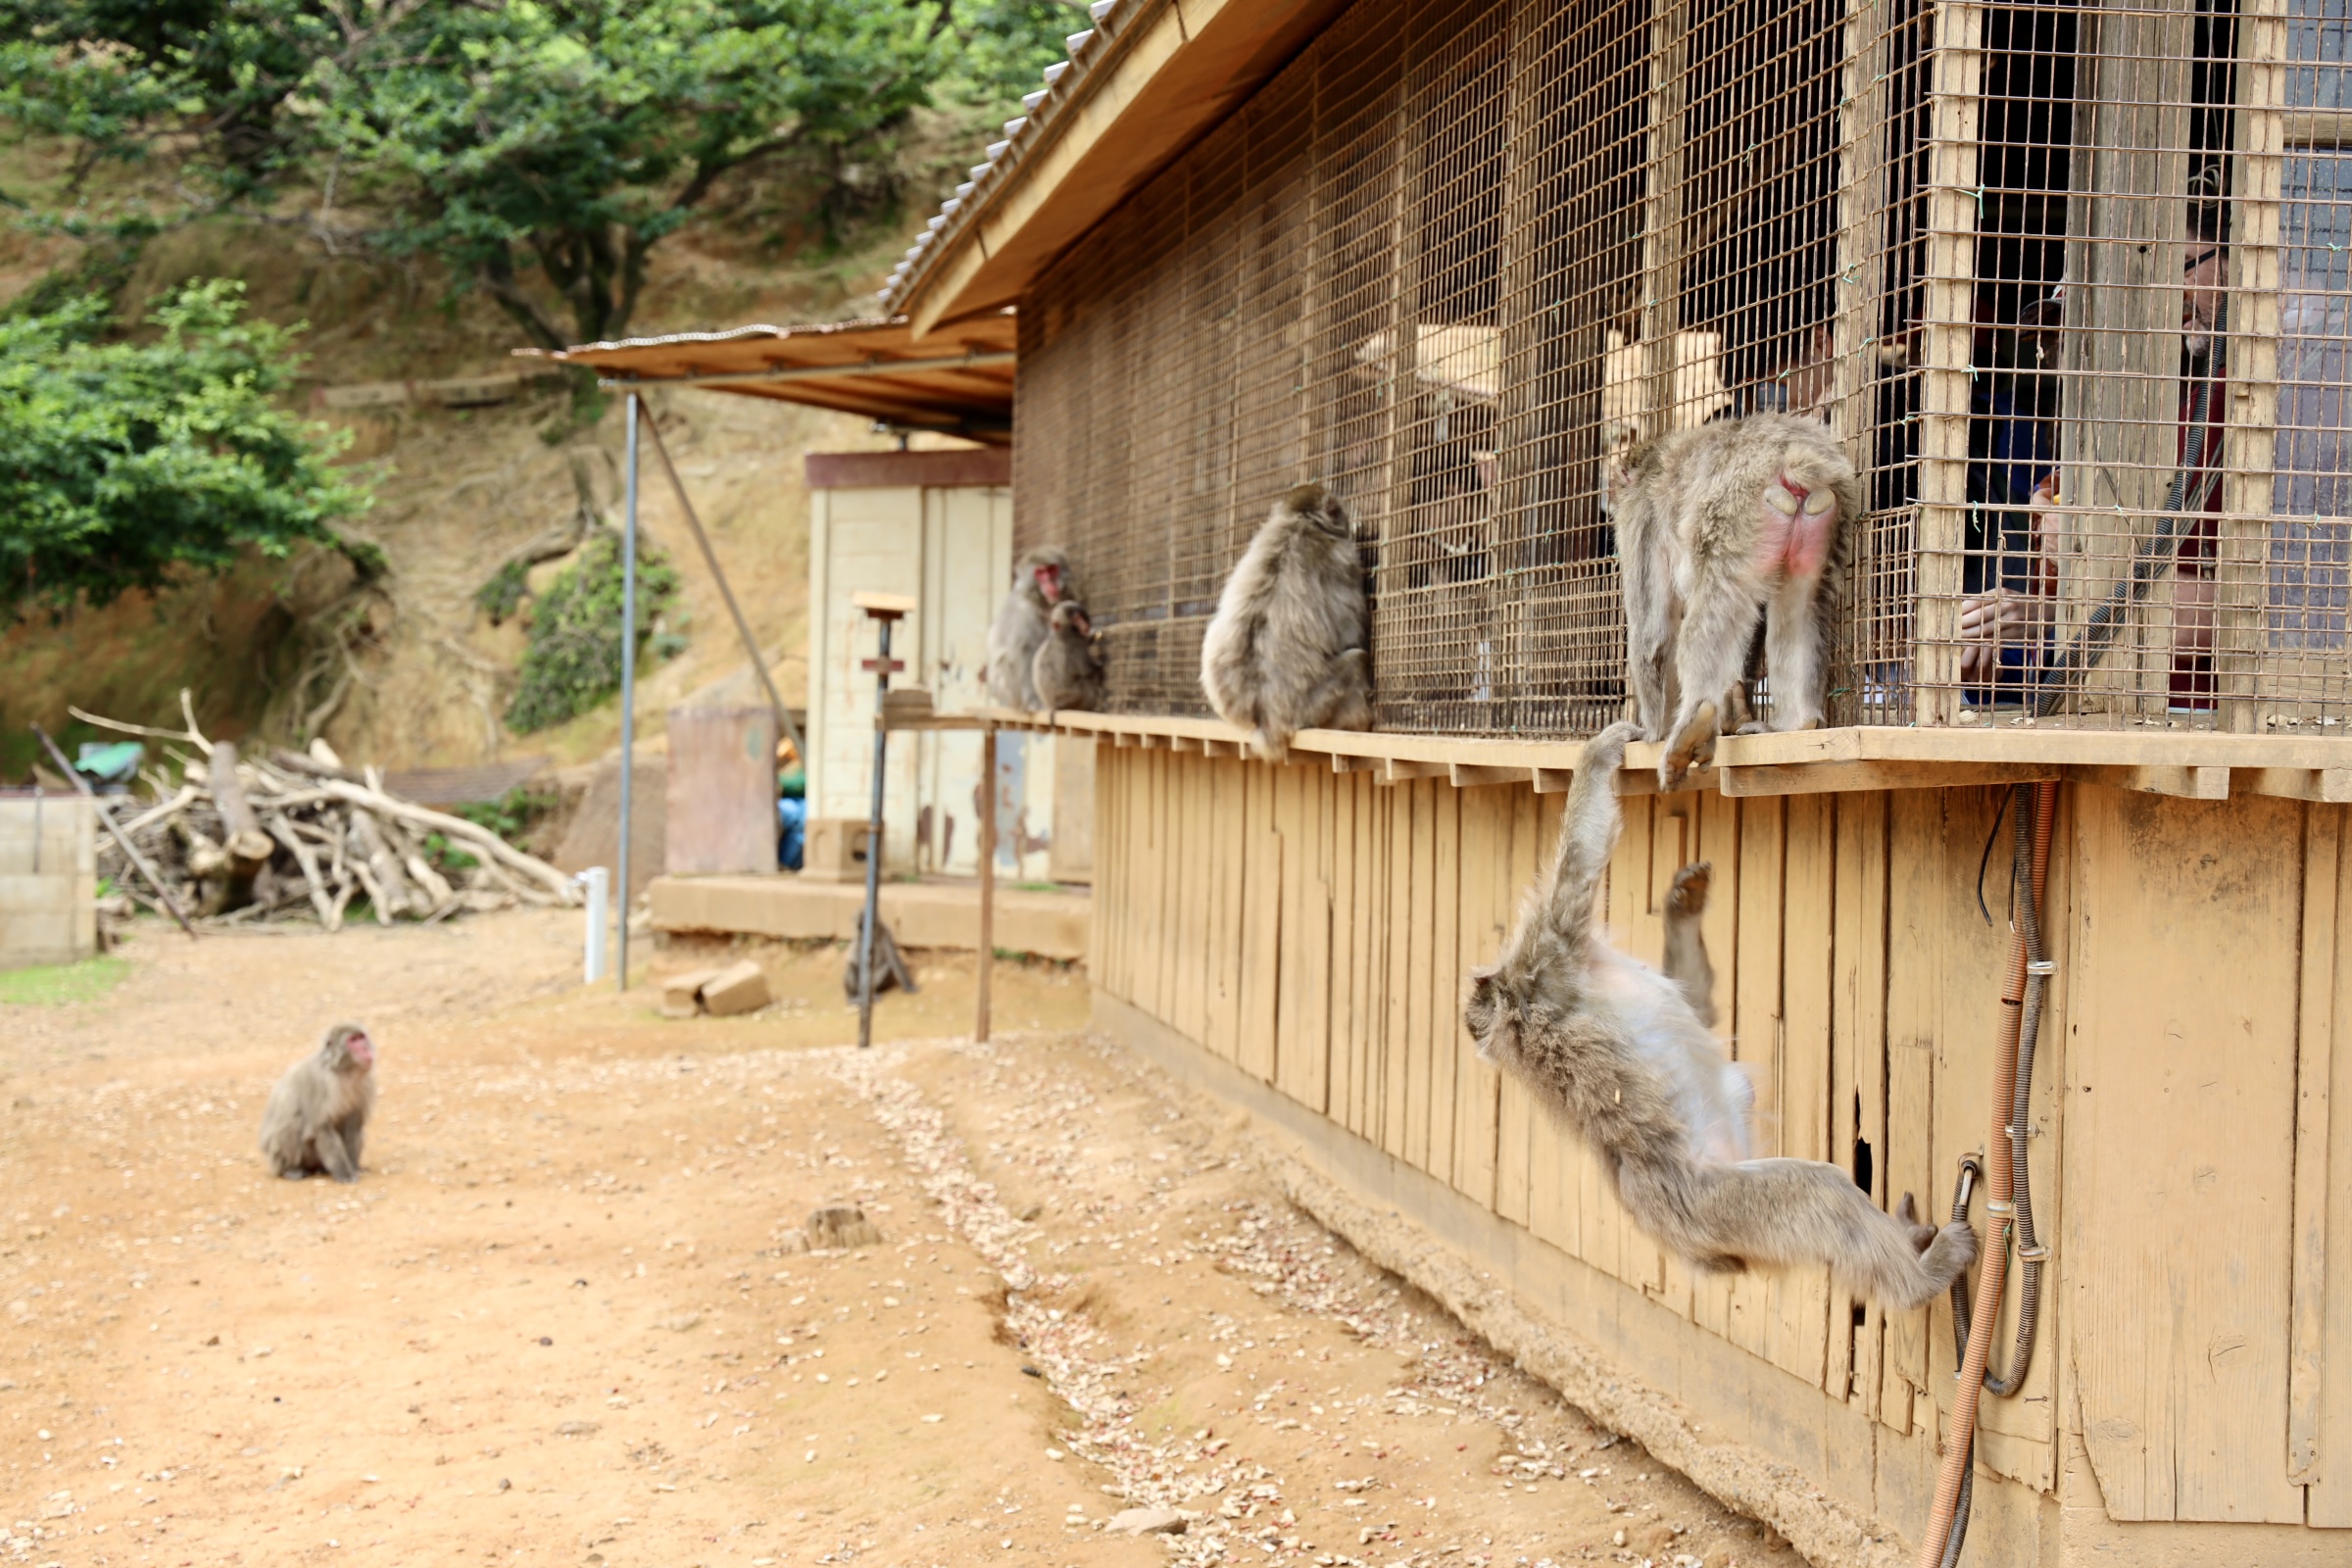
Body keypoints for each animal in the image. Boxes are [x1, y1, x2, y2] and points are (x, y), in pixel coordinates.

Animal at [1458, 728, 1976, 1316]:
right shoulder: (1549, 952)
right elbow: (1580, 864)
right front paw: (1598, 753)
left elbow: (1701, 1015)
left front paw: (1680, 906)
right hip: (1713, 1208)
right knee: (1816, 1192)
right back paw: (1919, 1281)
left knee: (1742, 1091)